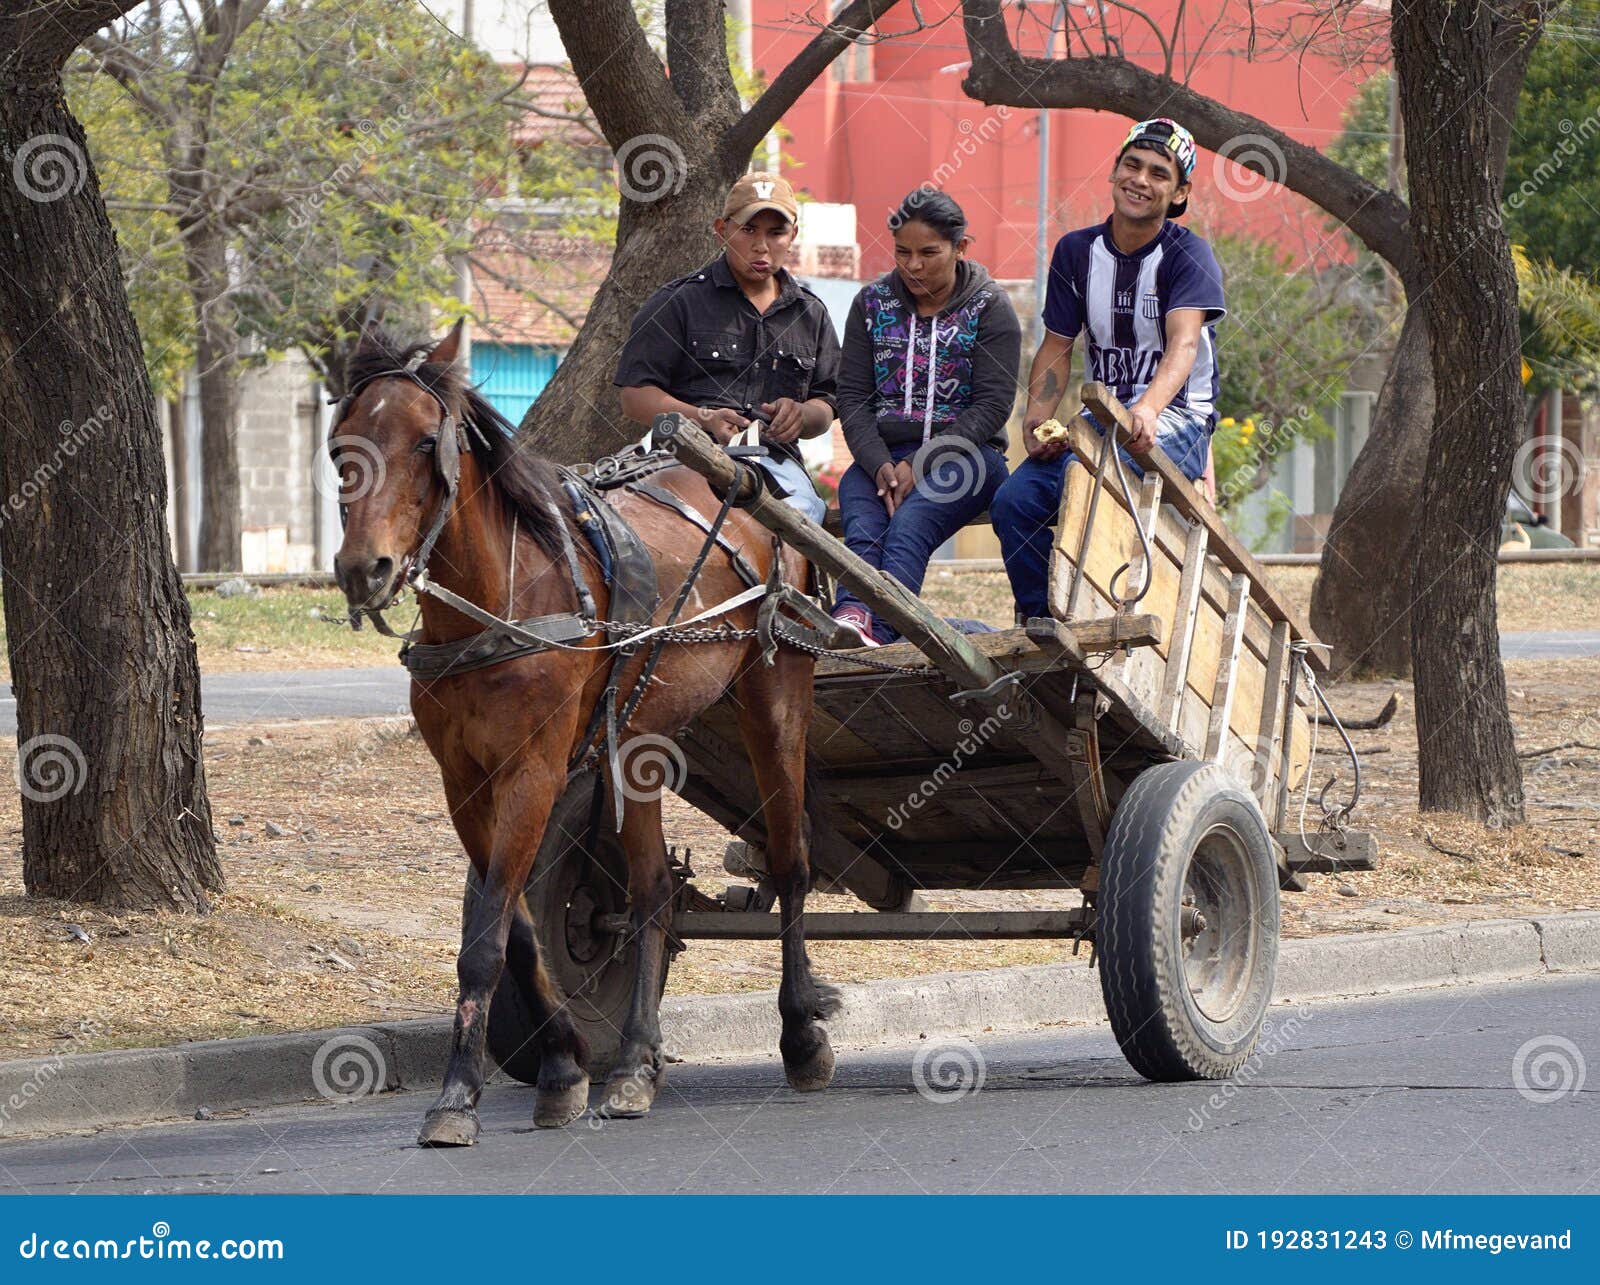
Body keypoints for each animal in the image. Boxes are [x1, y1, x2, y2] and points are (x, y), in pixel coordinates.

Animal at [326, 321, 838, 1145]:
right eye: (341, 441)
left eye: (426, 441)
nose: (361, 568)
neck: (498, 601)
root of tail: (746, 469)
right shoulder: (463, 783)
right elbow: (516, 929)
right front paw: (565, 1064)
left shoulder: (532, 769)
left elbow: (485, 941)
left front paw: (457, 1096)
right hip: (635, 743)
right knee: (652, 891)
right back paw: (633, 1062)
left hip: (776, 694)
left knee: (792, 861)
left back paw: (799, 1036)